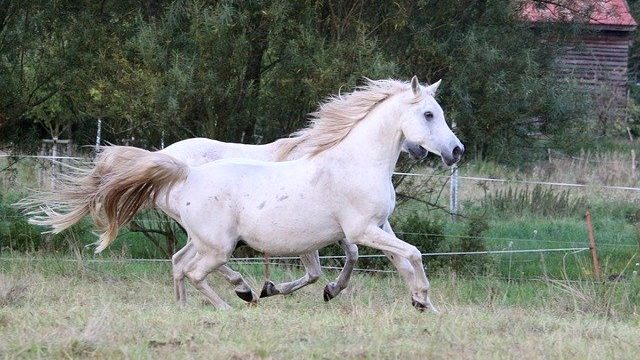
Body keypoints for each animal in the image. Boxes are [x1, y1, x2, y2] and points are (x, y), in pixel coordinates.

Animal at [28, 77, 464, 310]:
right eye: (428, 114)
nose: (456, 151)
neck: (354, 161)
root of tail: (183, 171)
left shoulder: (379, 227)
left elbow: (401, 261)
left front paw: (424, 305)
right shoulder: (359, 231)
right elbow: (410, 254)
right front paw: (422, 298)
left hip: (205, 240)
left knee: (179, 263)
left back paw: (188, 307)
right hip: (218, 245)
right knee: (196, 270)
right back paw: (235, 300)